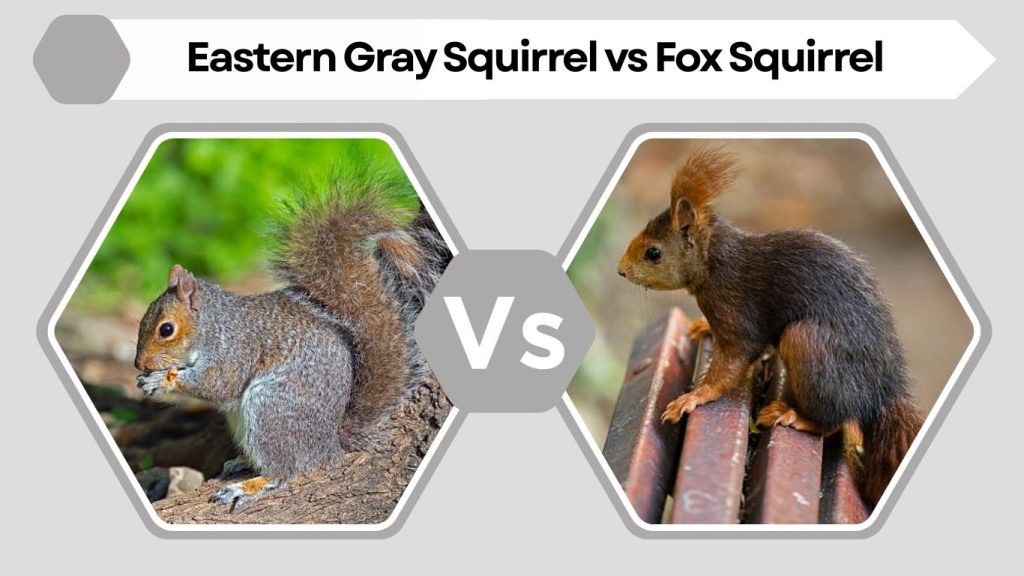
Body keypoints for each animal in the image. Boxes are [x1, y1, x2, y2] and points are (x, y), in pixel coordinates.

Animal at [133, 172, 451, 510]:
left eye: (166, 329)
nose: (139, 363)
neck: (213, 325)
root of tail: (328, 445)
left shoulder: (236, 349)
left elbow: (219, 384)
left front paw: (162, 381)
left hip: (271, 408)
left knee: (285, 470)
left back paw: (248, 486)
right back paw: (242, 463)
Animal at [616, 146, 923, 507]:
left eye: (653, 253)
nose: (621, 270)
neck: (713, 260)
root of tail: (882, 390)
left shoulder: (737, 313)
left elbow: (731, 365)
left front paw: (693, 398)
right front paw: (702, 327)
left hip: (805, 343)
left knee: (833, 420)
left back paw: (793, 415)